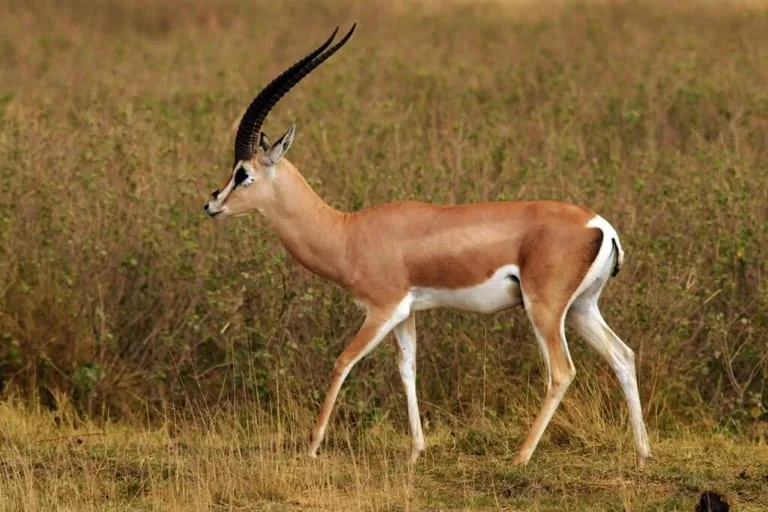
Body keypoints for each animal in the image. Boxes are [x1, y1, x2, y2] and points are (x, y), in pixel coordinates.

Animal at [203, 24, 652, 468]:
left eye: (242, 174)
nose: (211, 204)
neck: (347, 232)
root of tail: (601, 225)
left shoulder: (381, 309)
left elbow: (342, 362)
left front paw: (312, 446)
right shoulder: (406, 313)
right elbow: (408, 370)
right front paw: (417, 450)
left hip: (544, 309)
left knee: (562, 371)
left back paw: (520, 458)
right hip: (580, 308)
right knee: (622, 355)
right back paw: (643, 453)